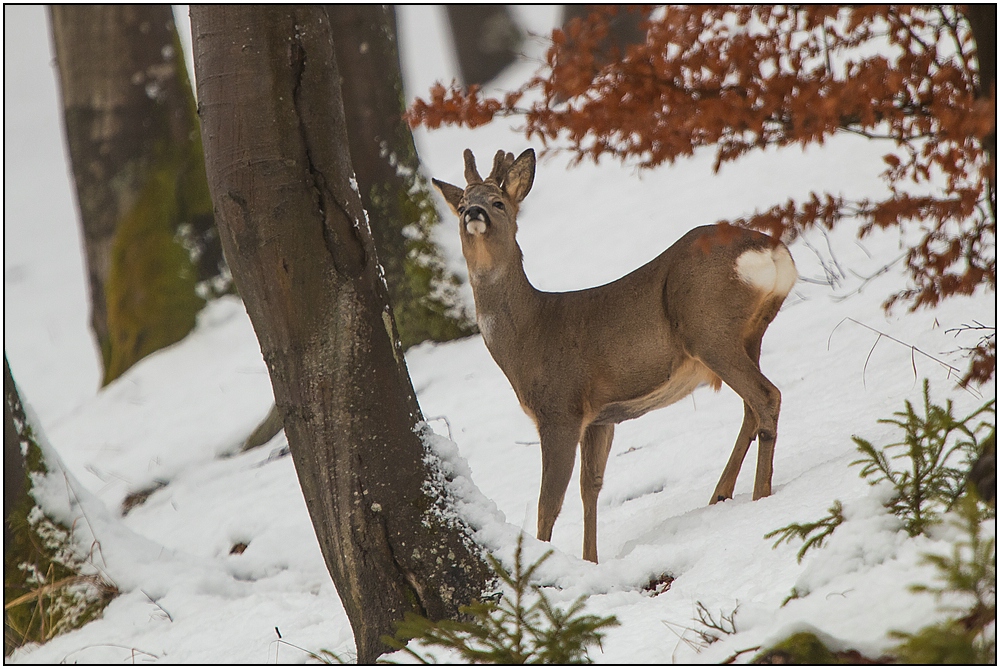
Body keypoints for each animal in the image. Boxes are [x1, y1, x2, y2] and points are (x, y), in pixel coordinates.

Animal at [430, 149, 796, 560]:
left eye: (498, 203)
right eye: (462, 204)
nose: (474, 214)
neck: (531, 334)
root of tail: (771, 250)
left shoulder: (560, 409)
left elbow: (548, 502)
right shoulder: (600, 416)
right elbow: (590, 487)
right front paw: (591, 560)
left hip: (710, 333)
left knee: (766, 396)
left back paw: (760, 495)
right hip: (750, 335)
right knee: (751, 408)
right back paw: (721, 495)